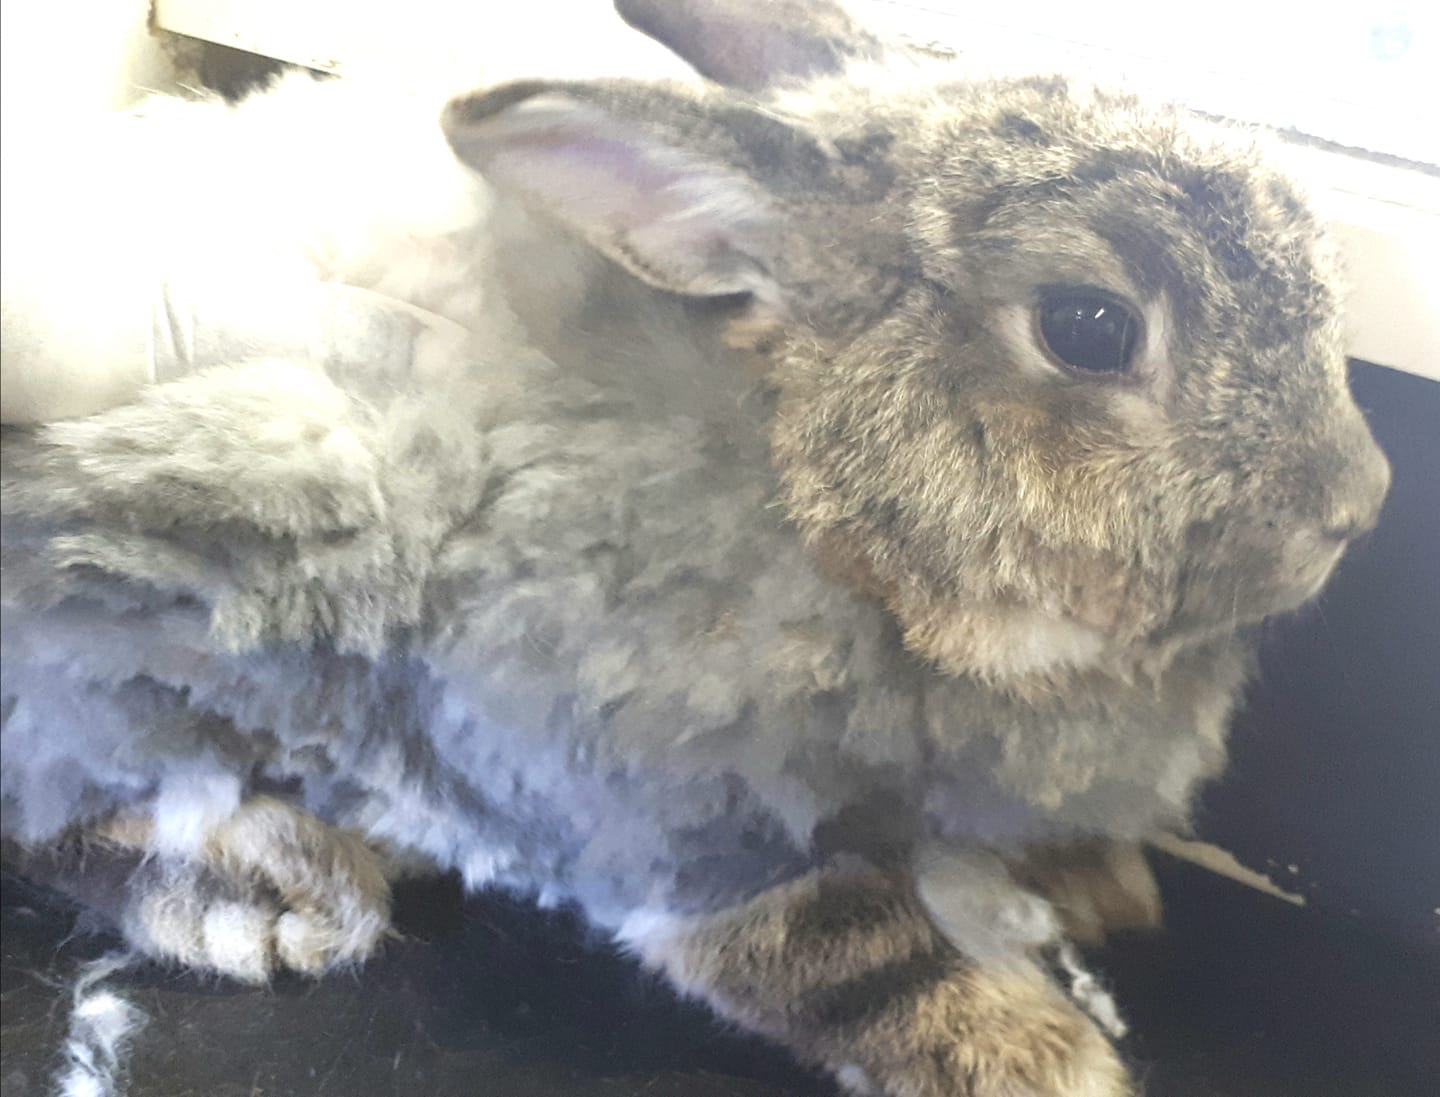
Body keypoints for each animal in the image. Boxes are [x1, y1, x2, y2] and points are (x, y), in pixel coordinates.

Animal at [0, 2, 1391, 1094]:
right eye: (1092, 327)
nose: (1361, 503)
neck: (819, 510)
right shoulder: (659, 804)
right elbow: (839, 946)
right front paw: (1037, 1057)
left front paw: (1106, 883)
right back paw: (269, 895)